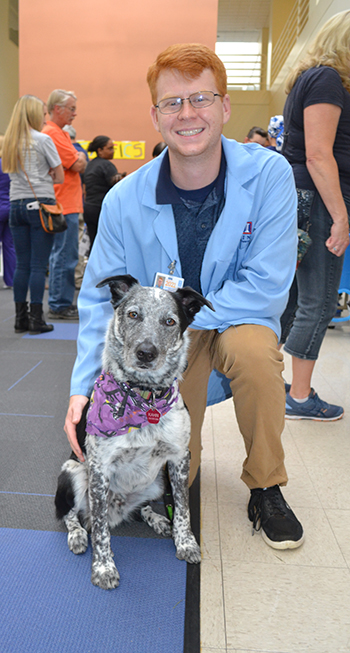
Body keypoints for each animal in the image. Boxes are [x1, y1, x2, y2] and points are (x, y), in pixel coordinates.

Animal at [54, 272, 213, 588]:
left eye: (169, 321)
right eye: (133, 314)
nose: (146, 353)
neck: (145, 396)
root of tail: (119, 510)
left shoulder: (179, 459)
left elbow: (183, 509)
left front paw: (185, 543)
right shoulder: (99, 469)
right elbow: (101, 532)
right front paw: (103, 569)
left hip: (158, 480)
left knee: (144, 508)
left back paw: (158, 519)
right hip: (73, 471)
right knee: (69, 514)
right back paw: (77, 535)